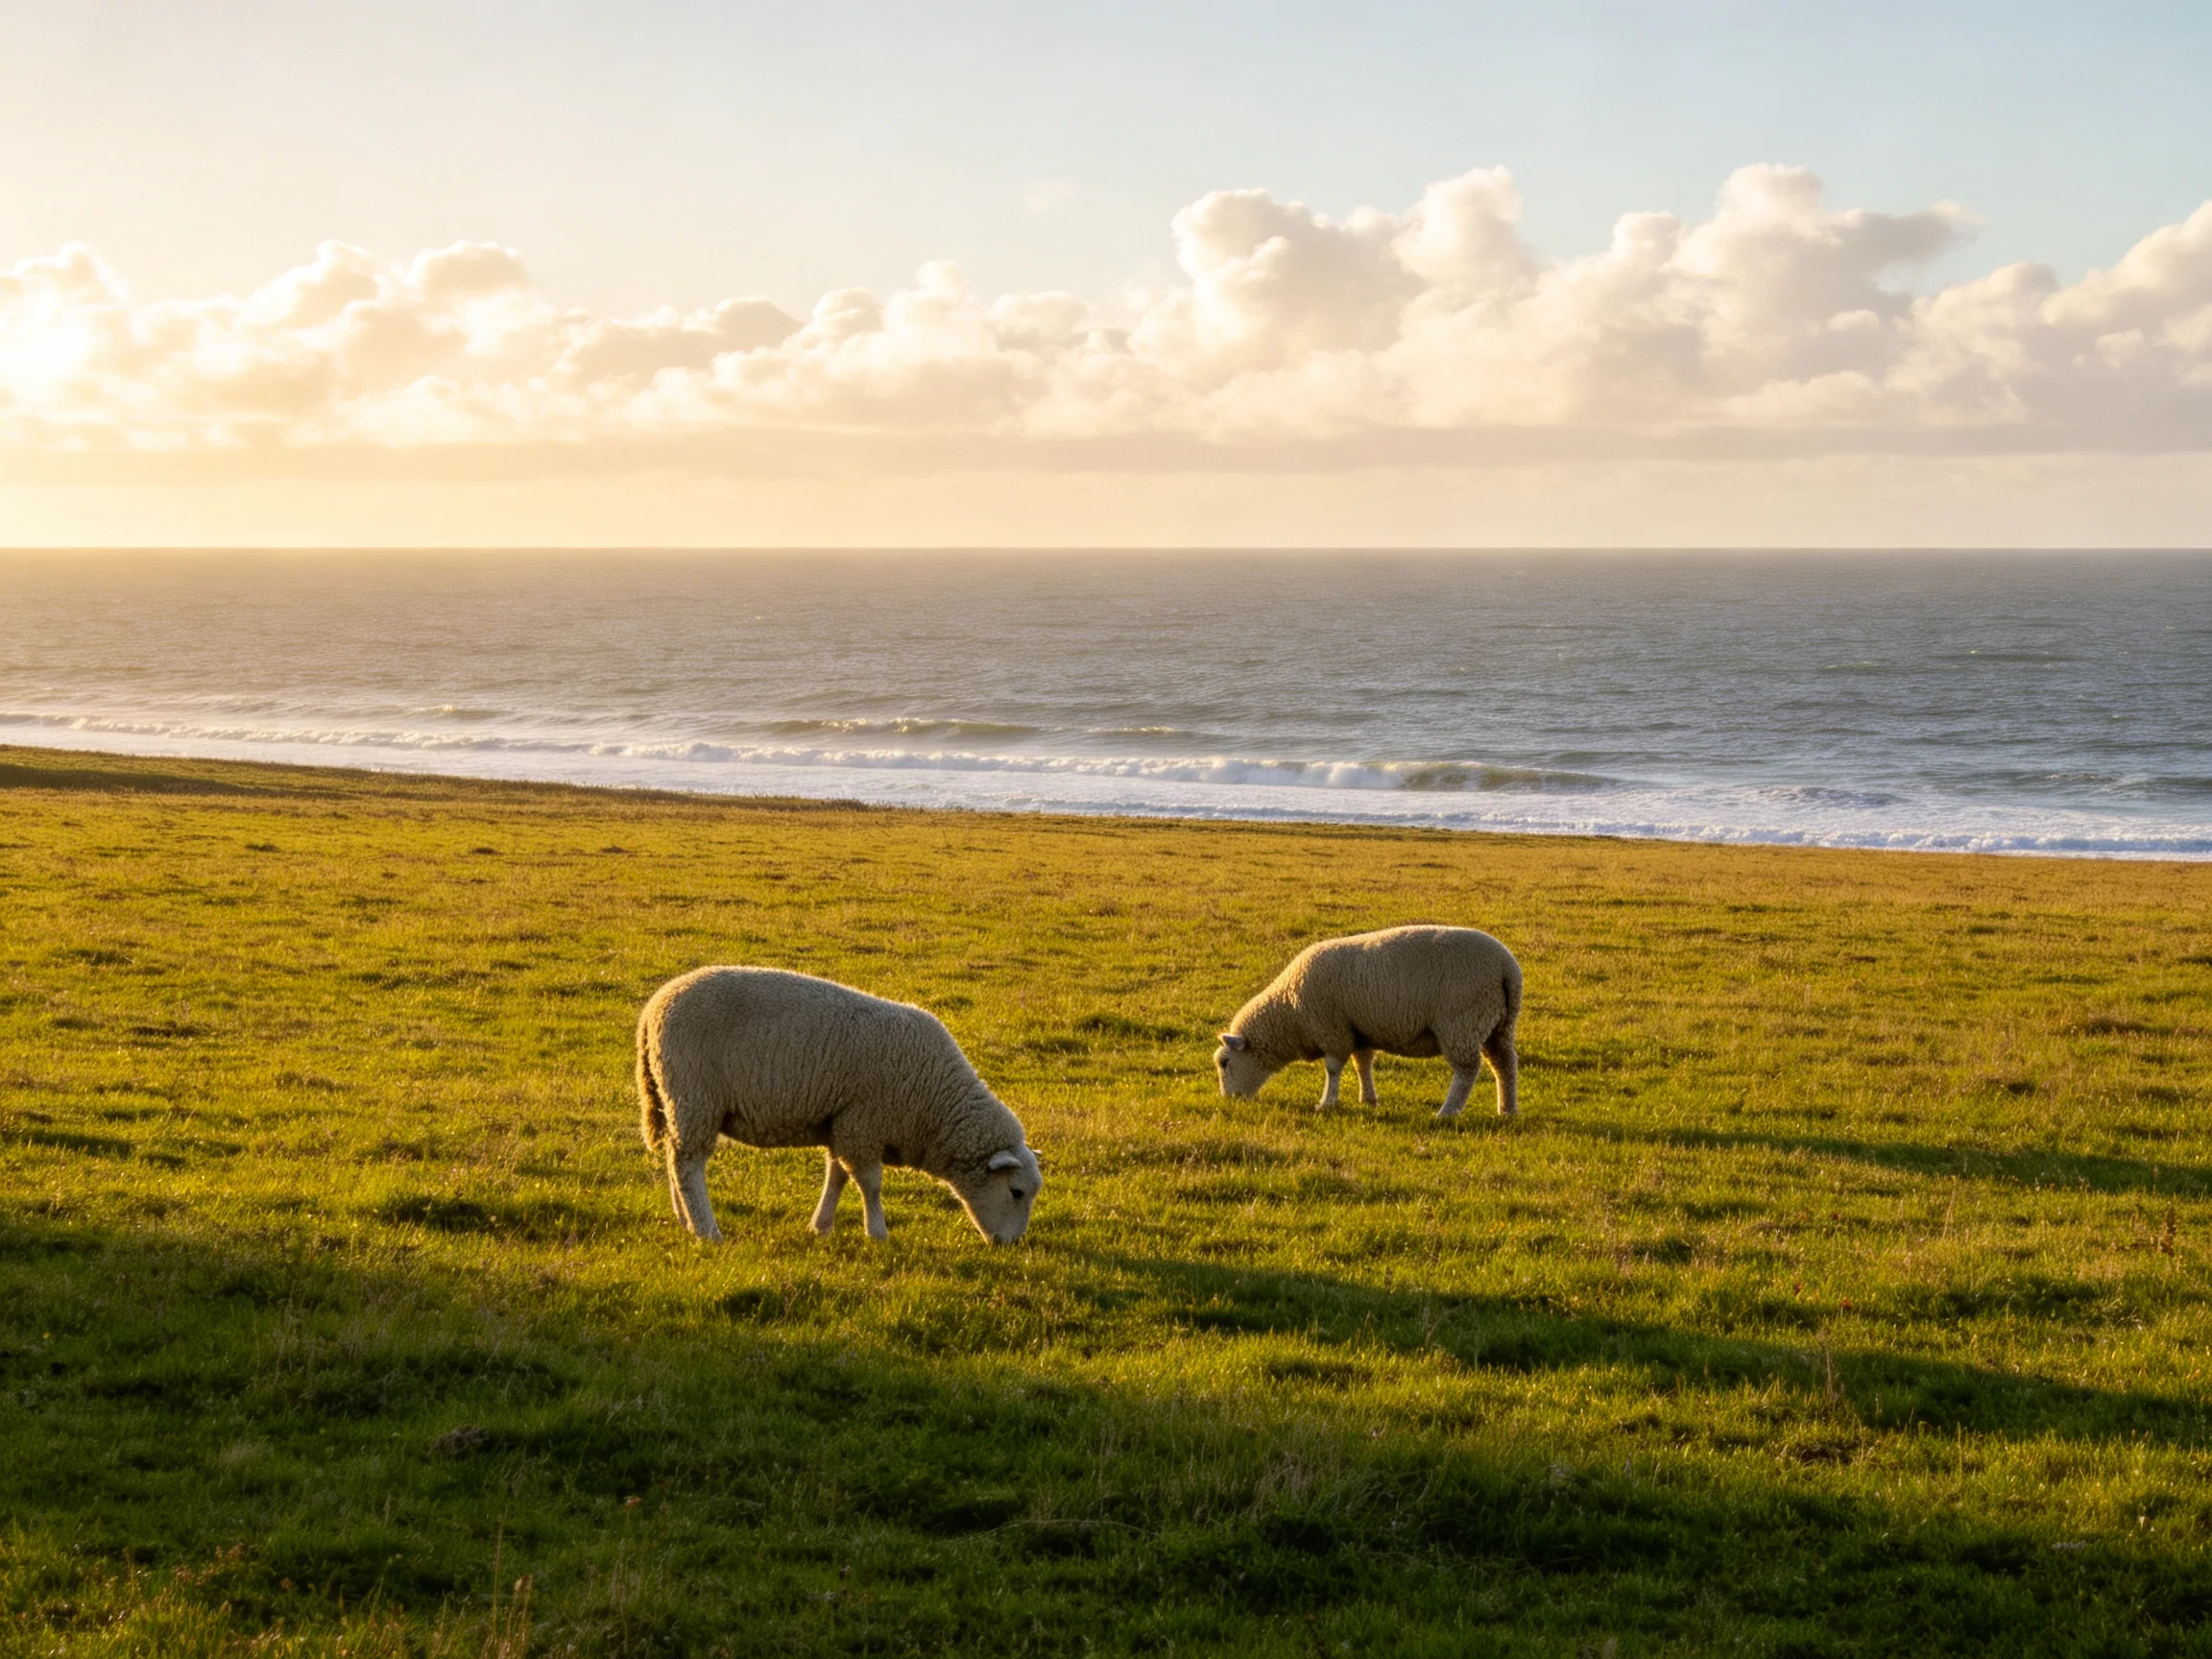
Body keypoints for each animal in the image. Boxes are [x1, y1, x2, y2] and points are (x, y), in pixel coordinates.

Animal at [636, 966, 1042, 1244]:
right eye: (1015, 1191)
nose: (1011, 1245)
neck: (935, 1101)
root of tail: (653, 1009)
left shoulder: (842, 1123)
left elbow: (837, 1176)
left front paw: (821, 1226)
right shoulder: (864, 1123)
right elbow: (870, 1183)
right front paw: (877, 1233)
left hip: (676, 1100)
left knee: (674, 1158)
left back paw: (684, 1220)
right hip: (695, 1096)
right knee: (688, 1165)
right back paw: (707, 1231)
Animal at [1214, 925, 1521, 1119]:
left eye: (1225, 1063)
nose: (1229, 1100)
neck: (1289, 1013)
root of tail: (1506, 967)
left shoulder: (1332, 1029)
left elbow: (1333, 1068)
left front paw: (1326, 1103)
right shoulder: (1358, 1030)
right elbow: (1362, 1063)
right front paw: (1368, 1099)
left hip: (1461, 1022)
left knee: (1467, 1071)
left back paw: (1447, 1112)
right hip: (1497, 1025)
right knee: (1504, 1065)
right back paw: (1507, 1110)